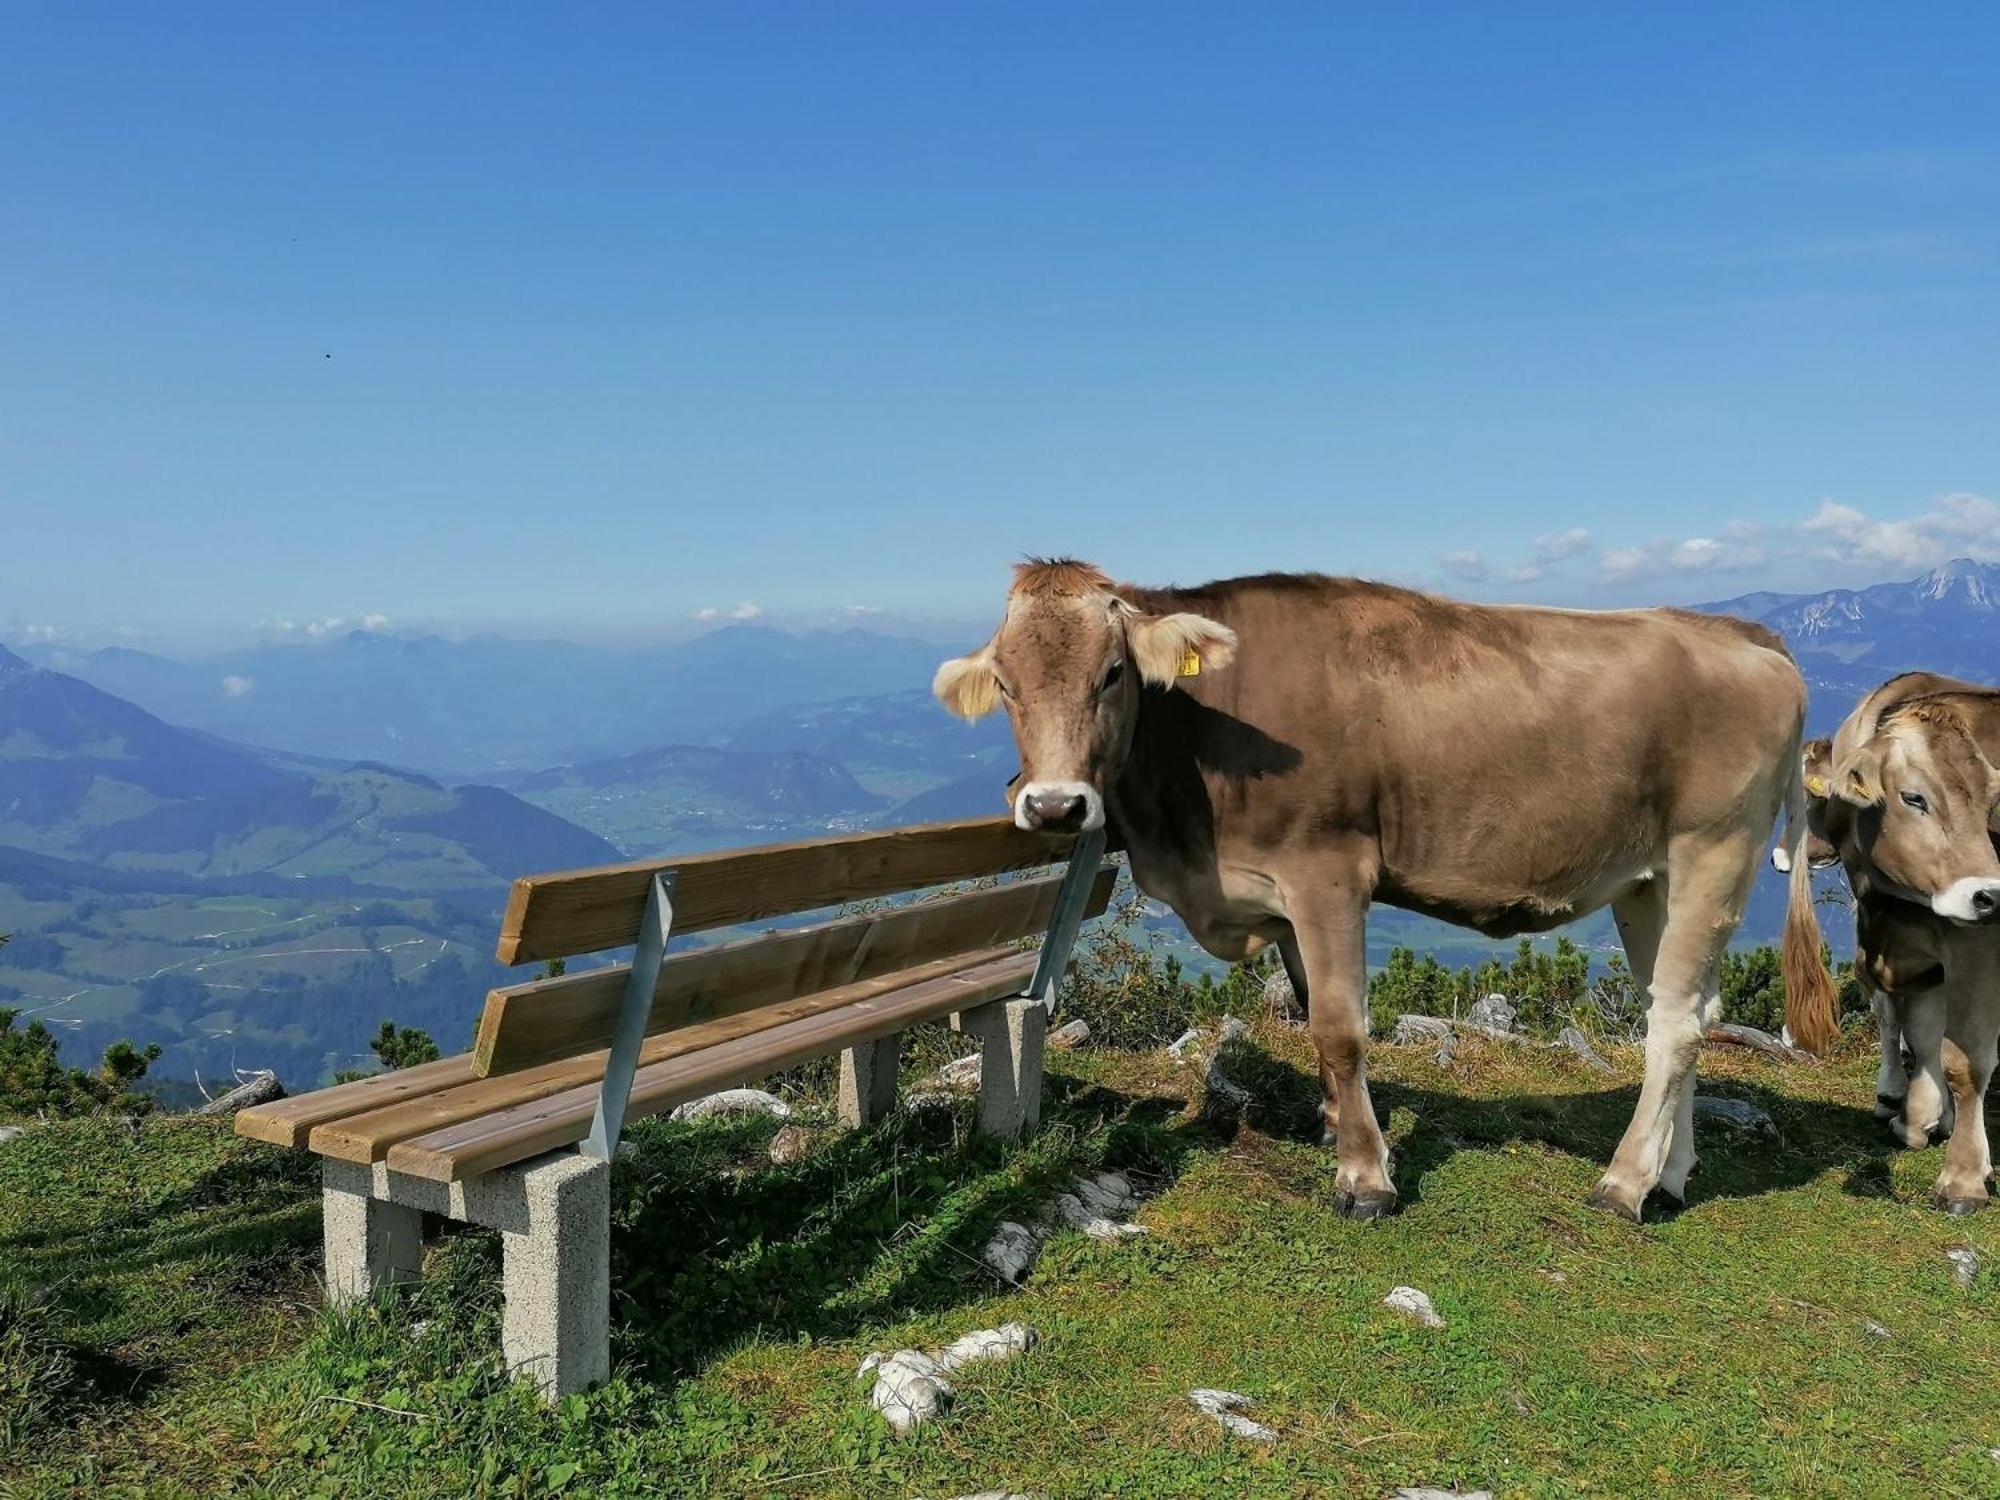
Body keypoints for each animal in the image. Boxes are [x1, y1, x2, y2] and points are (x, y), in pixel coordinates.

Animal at [928, 560, 1832, 1224]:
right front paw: (1343, 1128)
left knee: (1675, 1023)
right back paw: (1672, 1173)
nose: (1054, 807)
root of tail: (1737, 633)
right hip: (1650, 879)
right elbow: (1307, 1011)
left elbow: (1339, 1029)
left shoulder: (1328, 871)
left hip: (1715, 848)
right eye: (1004, 683)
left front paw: (1364, 1177)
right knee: (1690, 1009)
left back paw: (1624, 1183)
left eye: (1113, 672)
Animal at [1792, 676, 2000, 1216]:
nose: (1990, 895)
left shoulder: (1974, 943)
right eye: (1914, 798)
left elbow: (1965, 1060)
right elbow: (1921, 1034)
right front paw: (1918, 1118)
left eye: (1991, 799)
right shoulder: (1912, 952)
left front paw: (1964, 1177)